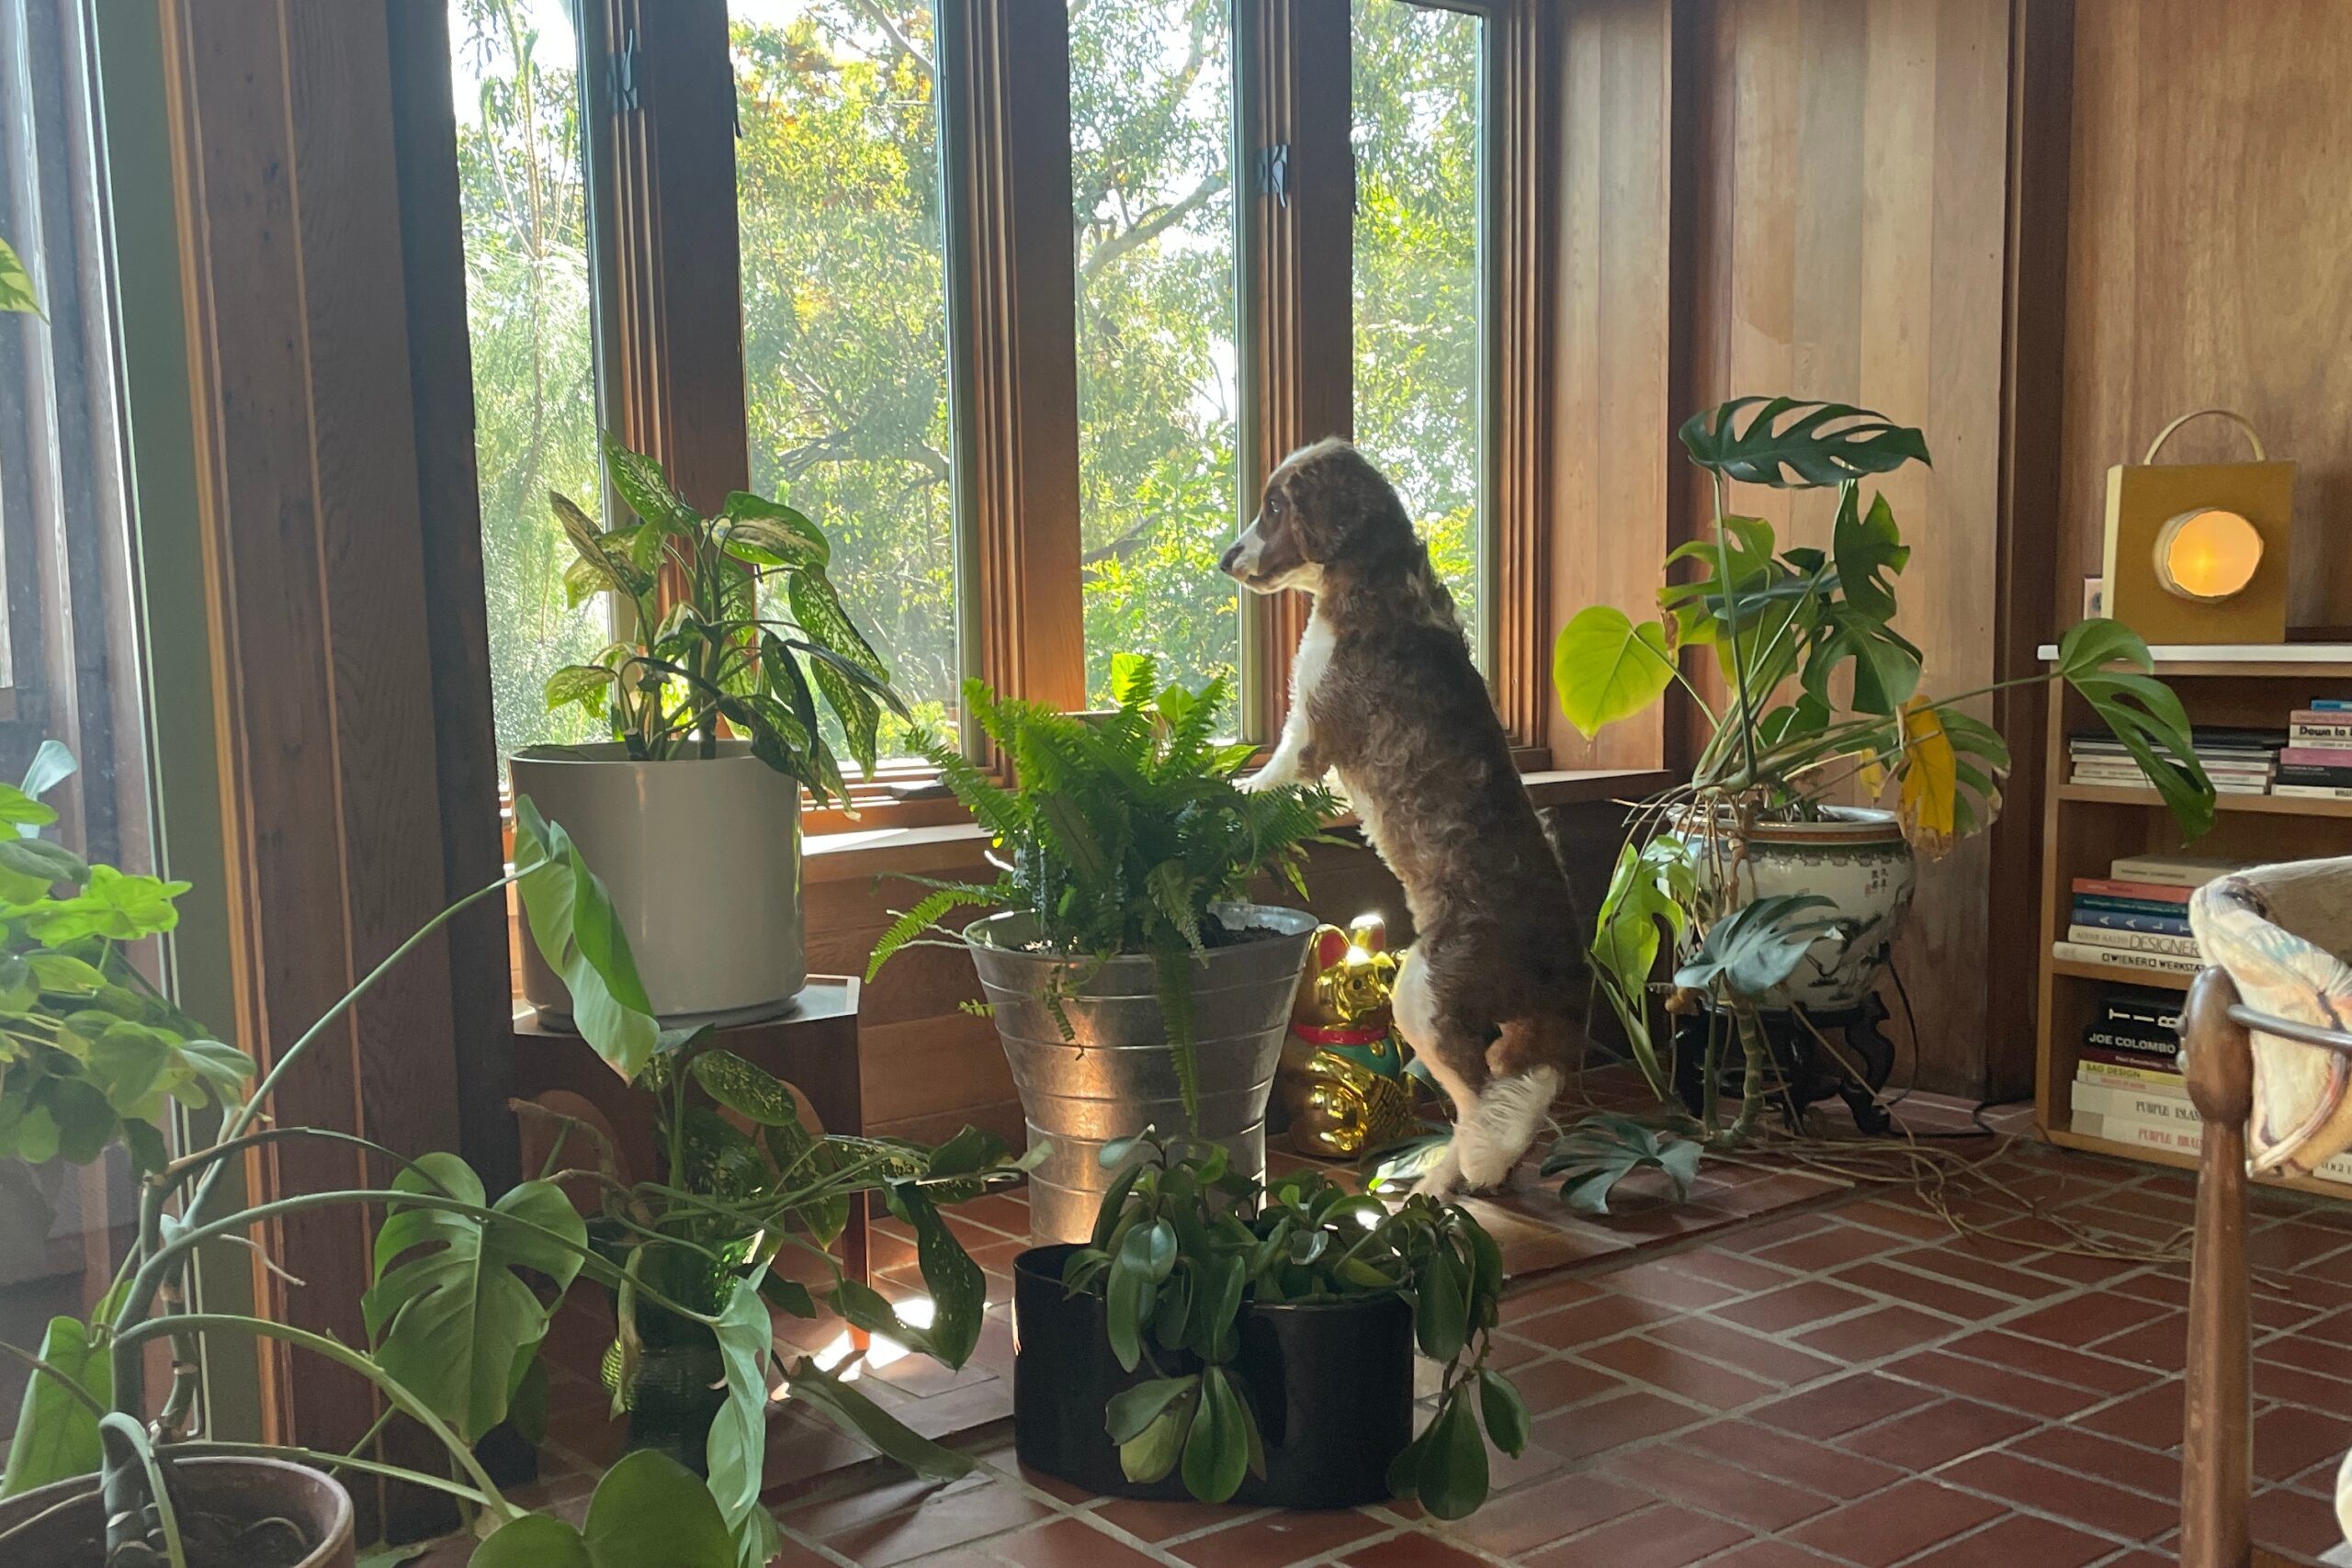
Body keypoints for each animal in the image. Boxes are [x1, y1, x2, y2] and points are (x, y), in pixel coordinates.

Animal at [1221, 438, 1586, 1199]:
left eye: (1276, 506)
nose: (1225, 558)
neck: (1375, 576)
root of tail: (1569, 975)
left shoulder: (1310, 733)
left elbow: (1259, 781)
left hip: (1423, 993)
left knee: (1482, 1100)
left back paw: (1448, 1179)